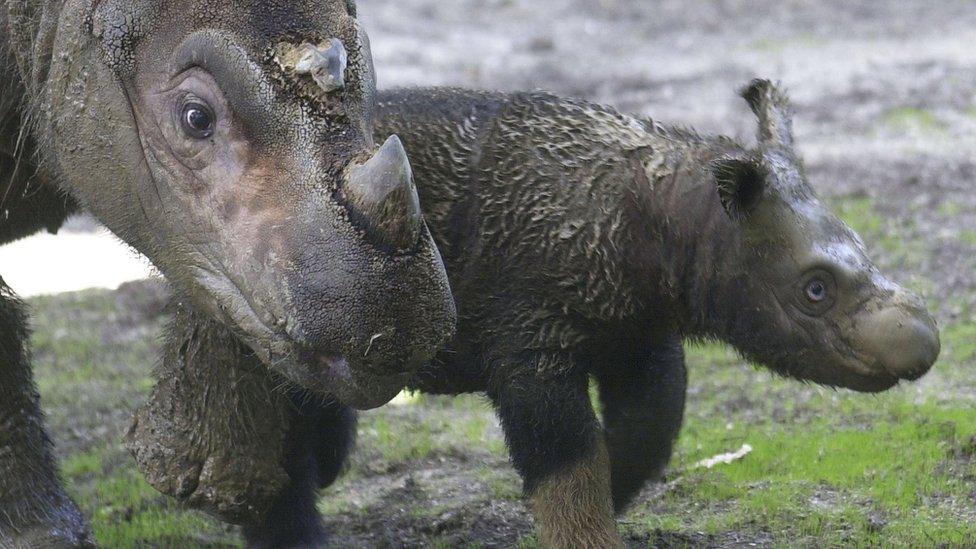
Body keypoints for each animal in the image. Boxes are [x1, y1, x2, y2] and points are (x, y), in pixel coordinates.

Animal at [139, 79, 936, 544]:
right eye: (814, 289)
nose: (923, 343)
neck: (656, 235)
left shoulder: (637, 336)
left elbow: (642, 436)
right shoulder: (529, 342)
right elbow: (568, 469)